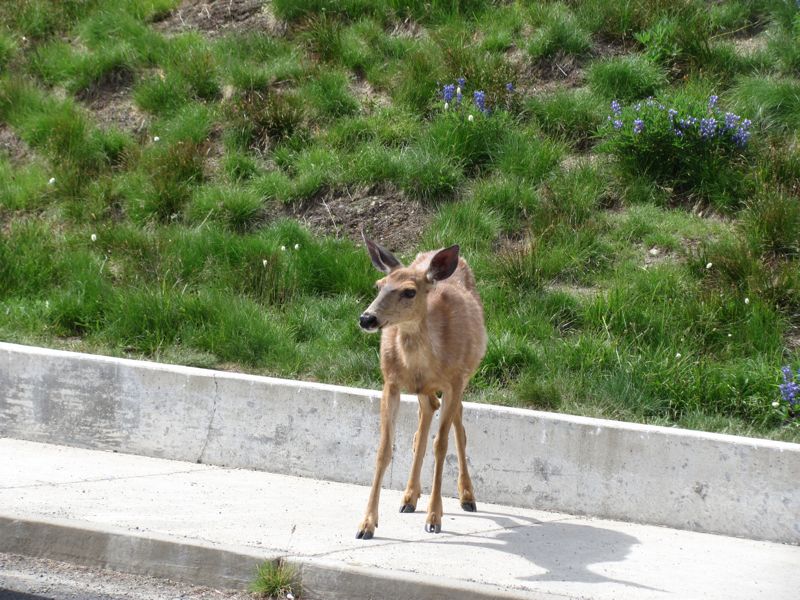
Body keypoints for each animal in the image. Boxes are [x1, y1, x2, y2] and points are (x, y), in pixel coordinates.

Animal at [356, 236, 488, 540]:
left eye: (409, 292)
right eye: (379, 285)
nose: (367, 319)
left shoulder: (454, 381)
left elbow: (442, 445)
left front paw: (434, 518)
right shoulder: (390, 382)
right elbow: (384, 448)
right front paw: (366, 524)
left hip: (466, 374)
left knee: (458, 424)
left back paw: (467, 497)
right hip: (422, 390)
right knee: (426, 417)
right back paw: (409, 497)